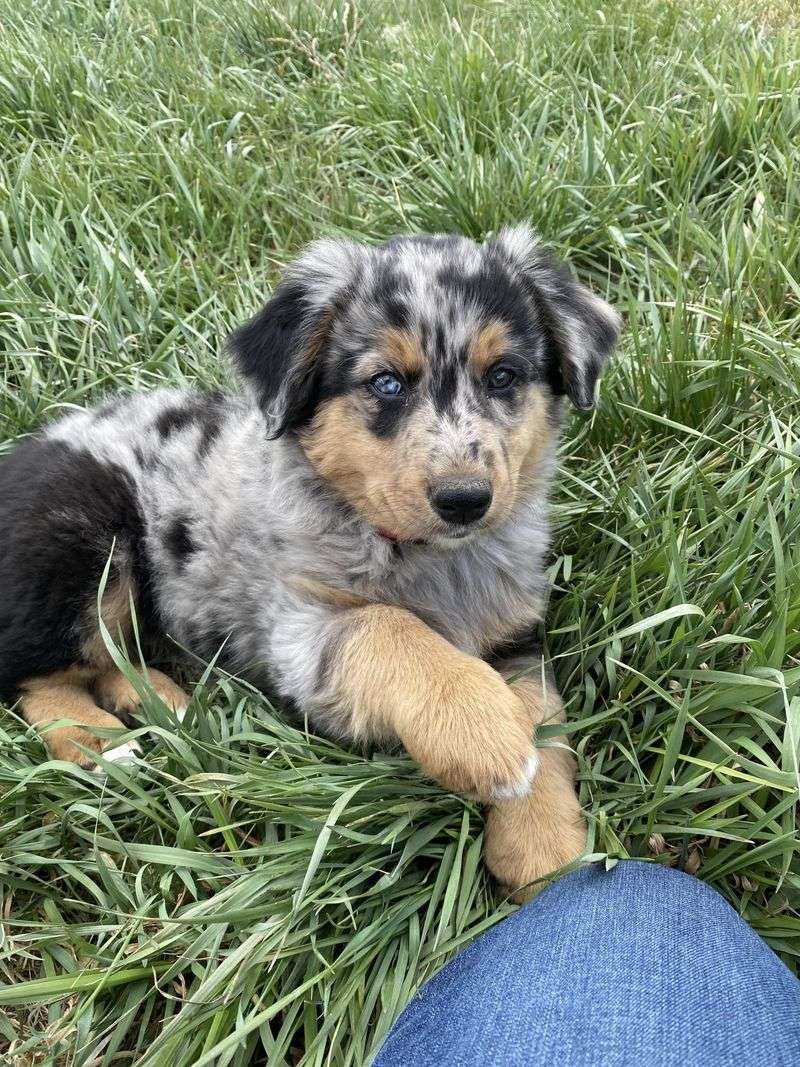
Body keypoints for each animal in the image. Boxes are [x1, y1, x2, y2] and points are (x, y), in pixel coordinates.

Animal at [0, 227, 618, 900]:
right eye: (387, 383)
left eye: (504, 376)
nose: (464, 500)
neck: (428, 558)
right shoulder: (298, 631)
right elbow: (387, 629)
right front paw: (486, 734)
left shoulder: (514, 634)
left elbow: (545, 721)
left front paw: (546, 851)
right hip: (87, 539)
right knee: (38, 679)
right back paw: (102, 740)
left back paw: (158, 700)